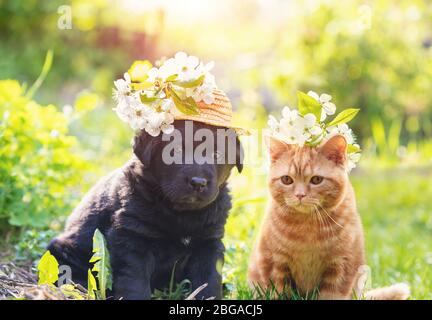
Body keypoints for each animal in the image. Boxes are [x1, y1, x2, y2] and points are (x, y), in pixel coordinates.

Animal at [48, 120, 243, 300]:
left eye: (217, 154)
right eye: (175, 151)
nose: (198, 182)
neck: (181, 213)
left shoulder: (208, 242)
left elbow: (209, 279)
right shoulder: (132, 239)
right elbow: (135, 281)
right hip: (65, 250)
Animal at [248, 134, 410, 298]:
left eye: (316, 180)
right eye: (286, 179)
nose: (300, 195)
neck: (306, 228)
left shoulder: (342, 265)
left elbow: (332, 294)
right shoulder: (273, 263)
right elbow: (279, 292)